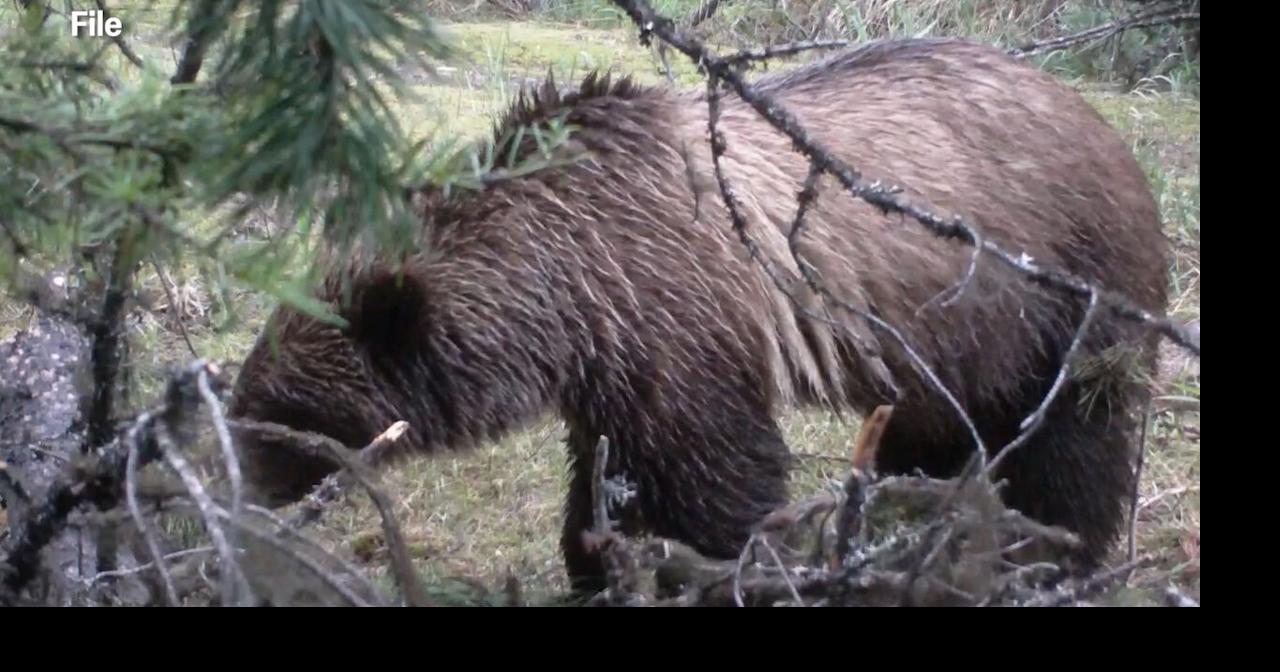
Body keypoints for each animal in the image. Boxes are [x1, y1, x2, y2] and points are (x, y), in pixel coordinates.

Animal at [227, 37, 1169, 594]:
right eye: (254, 393)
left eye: (282, 417)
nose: (238, 493)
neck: (562, 278)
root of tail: (1102, 122)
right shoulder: (612, 363)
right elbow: (603, 486)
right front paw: (598, 565)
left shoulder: (678, 318)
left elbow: (718, 480)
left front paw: (718, 569)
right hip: (944, 346)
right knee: (932, 440)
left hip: (1059, 293)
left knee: (1076, 443)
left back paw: (1048, 556)